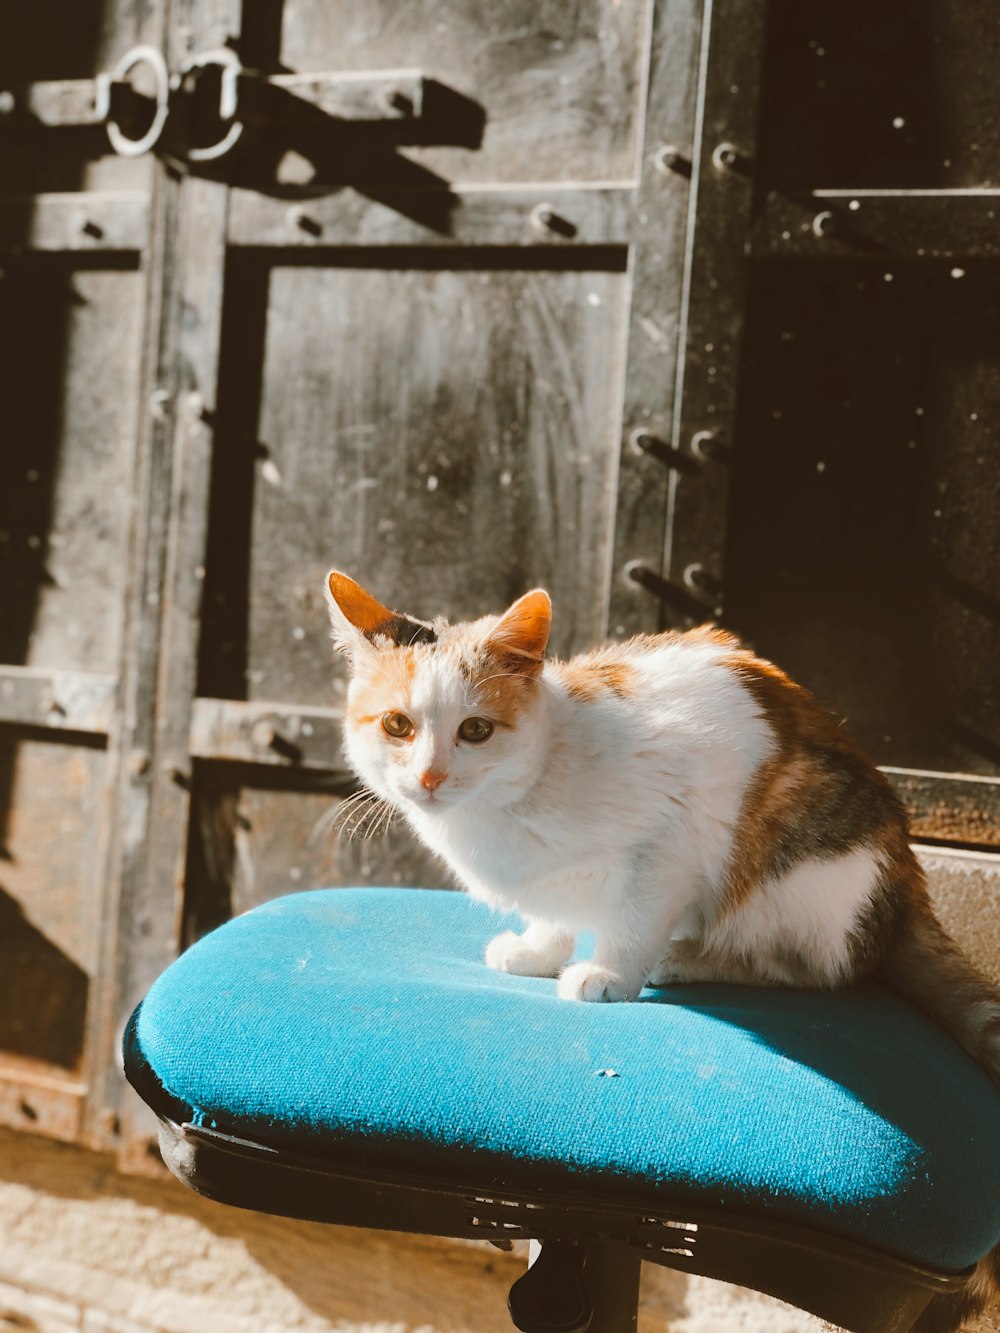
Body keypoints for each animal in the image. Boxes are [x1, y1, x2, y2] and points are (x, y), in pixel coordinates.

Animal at [325, 570, 997, 1333]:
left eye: (476, 730)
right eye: (397, 725)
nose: (431, 778)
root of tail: (907, 876)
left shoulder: (670, 841)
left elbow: (634, 917)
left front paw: (609, 973)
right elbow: (549, 912)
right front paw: (537, 948)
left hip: (802, 869)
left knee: (816, 970)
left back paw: (690, 956)